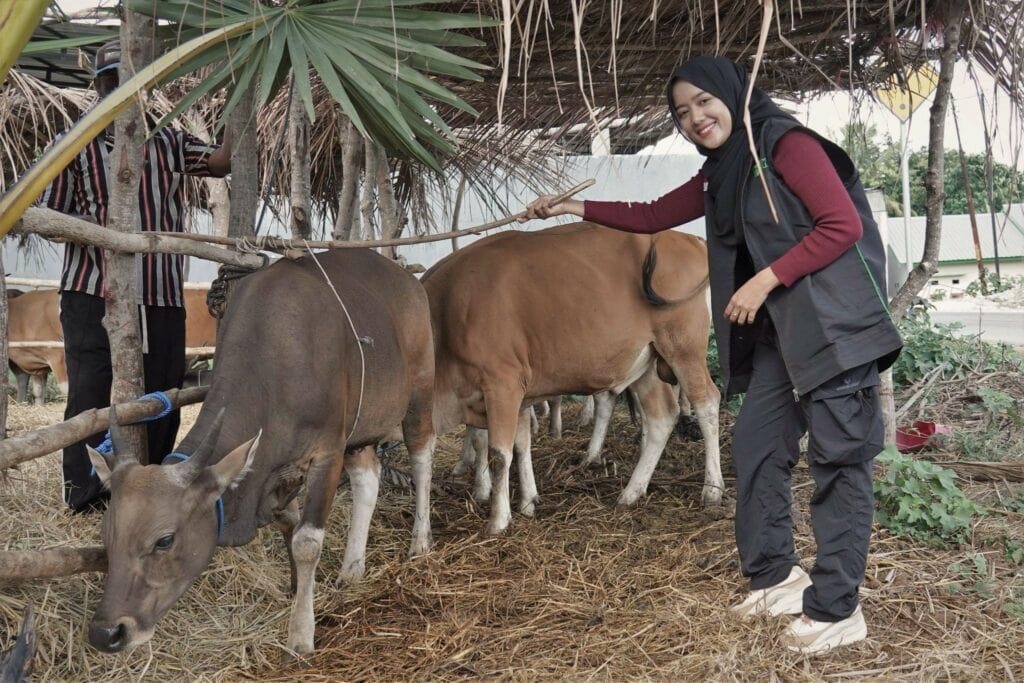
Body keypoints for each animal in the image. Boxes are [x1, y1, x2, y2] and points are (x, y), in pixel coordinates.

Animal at [421, 222, 720, 536]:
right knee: (662, 416)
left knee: (707, 403)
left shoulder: (502, 383)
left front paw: (498, 519)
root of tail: (690, 240)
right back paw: (631, 492)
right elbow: (519, 444)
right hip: (646, 360)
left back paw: (712, 490)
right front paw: (528, 502)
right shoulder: (515, 393)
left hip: (683, 348)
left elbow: (500, 454)